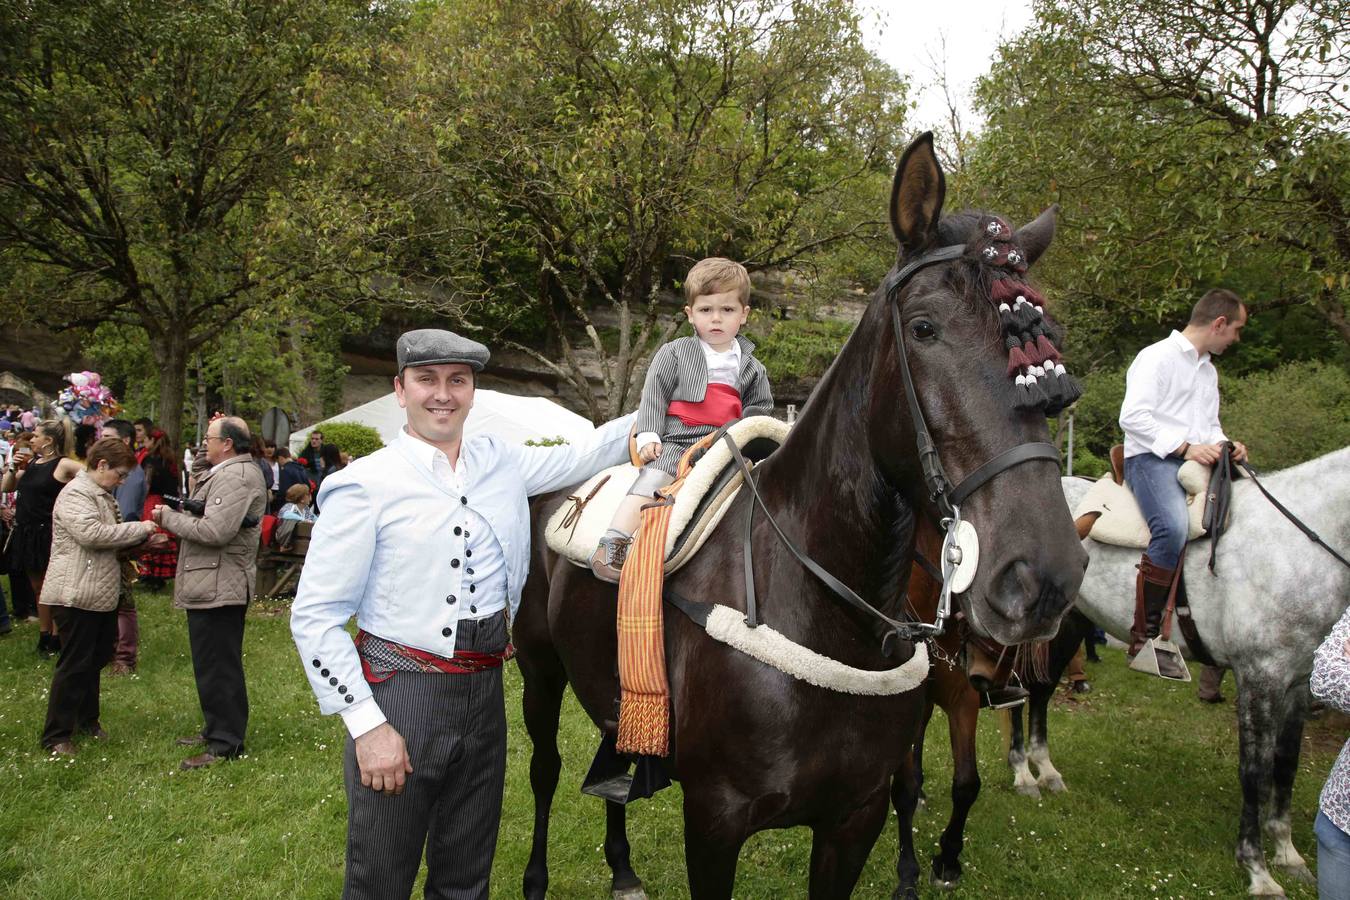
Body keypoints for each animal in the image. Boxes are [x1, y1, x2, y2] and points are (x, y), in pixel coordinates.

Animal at [513, 135, 1085, 900]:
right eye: (924, 328)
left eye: (1044, 339)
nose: (1043, 576)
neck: (822, 608)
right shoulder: (715, 820)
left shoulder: (854, 820)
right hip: (538, 669)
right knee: (544, 771)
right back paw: (538, 876)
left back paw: (624, 866)